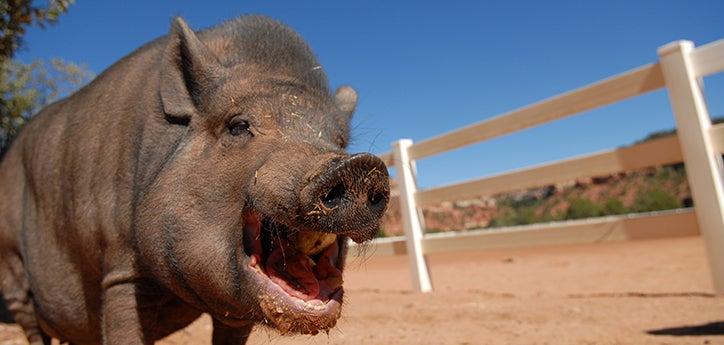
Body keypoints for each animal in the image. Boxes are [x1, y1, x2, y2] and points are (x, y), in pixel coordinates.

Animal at [0, 14, 390, 342]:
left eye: (339, 140)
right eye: (238, 125)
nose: (358, 166)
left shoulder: (235, 313)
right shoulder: (119, 267)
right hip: (12, 265)